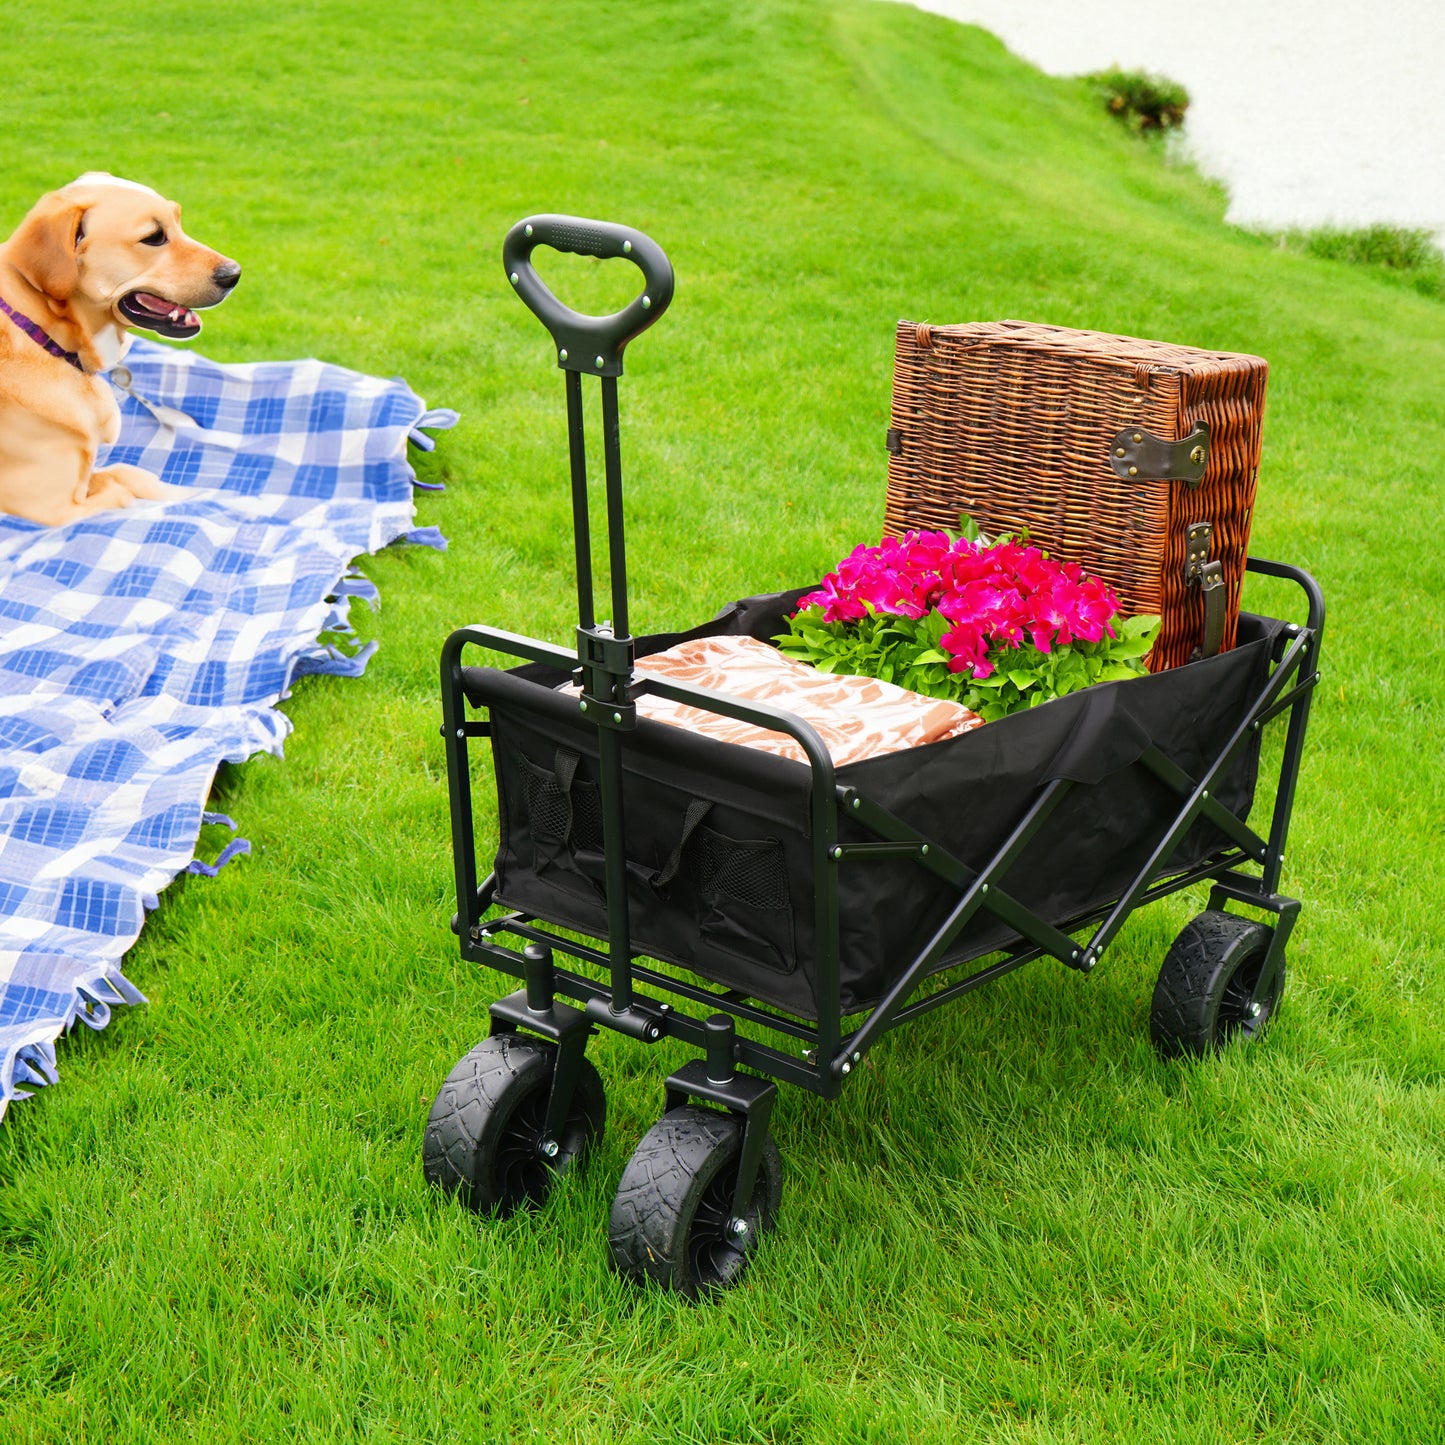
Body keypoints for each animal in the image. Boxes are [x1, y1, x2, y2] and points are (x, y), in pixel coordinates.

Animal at [0, 171, 239, 525]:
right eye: (154, 237)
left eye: (178, 220)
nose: (234, 274)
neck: (44, 336)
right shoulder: (54, 509)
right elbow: (123, 490)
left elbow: (130, 473)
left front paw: (192, 494)